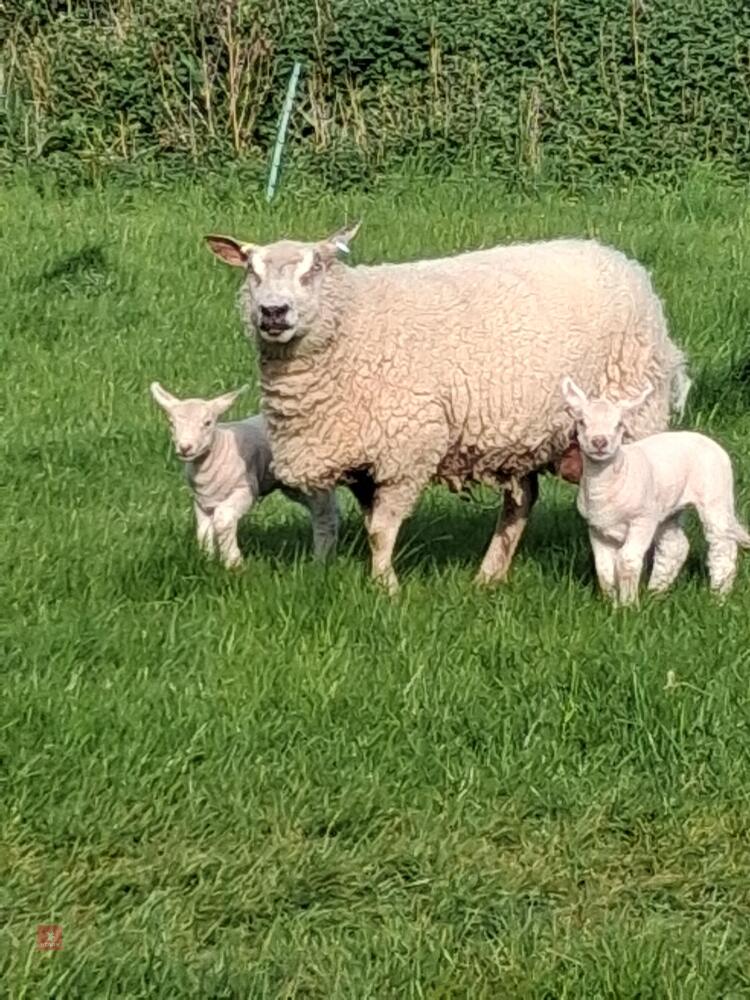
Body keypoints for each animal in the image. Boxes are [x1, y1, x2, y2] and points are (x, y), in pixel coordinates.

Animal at [149, 382, 339, 568]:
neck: (218, 449)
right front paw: (207, 559)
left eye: (208, 423)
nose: (185, 448)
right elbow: (203, 531)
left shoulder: (244, 489)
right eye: (172, 424)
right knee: (330, 507)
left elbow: (223, 519)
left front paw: (233, 562)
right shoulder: (202, 501)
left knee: (323, 513)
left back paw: (321, 558)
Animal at [205, 224, 690, 593]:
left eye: (314, 269)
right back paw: (488, 577)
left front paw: (386, 589)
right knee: (521, 502)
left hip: (635, 413)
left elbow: (381, 530)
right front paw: (380, 578)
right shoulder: (366, 461)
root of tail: (621, 261)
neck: (351, 326)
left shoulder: (407, 449)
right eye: (251, 271)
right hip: (522, 435)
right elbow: (372, 525)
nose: (273, 312)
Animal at [561, 376, 750, 603]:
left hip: (715, 492)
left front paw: (628, 604)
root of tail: (703, 438)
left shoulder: (642, 520)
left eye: (619, 424)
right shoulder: (597, 528)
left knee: (722, 544)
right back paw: (656, 592)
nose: (599, 441)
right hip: (668, 508)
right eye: (582, 422)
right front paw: (610, 602)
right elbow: (604, 568)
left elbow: (627, 560)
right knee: (675, 546)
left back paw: (719, 595)